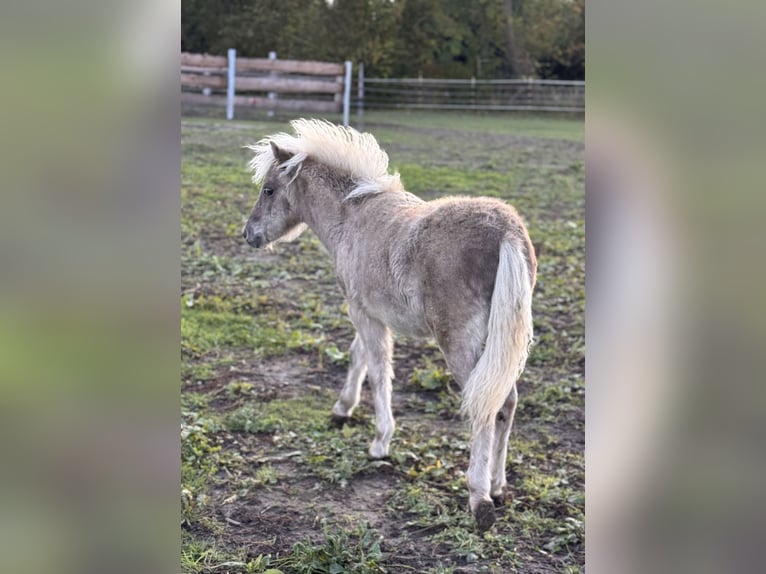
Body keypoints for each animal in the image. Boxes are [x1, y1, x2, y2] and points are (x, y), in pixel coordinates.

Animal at [241, 119, 536, 532]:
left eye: (269, 189)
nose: (248, 234)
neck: (352, 218)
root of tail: (505, 229)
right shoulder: (368, 311)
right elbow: (358, 357)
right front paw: (342, 409)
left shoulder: (362, 312)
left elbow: (379, 371)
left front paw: (380, 442)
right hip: (500, 342)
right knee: (506, 402)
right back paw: (498, 486)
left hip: (459, 342)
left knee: (484, 407)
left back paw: (479, 498)